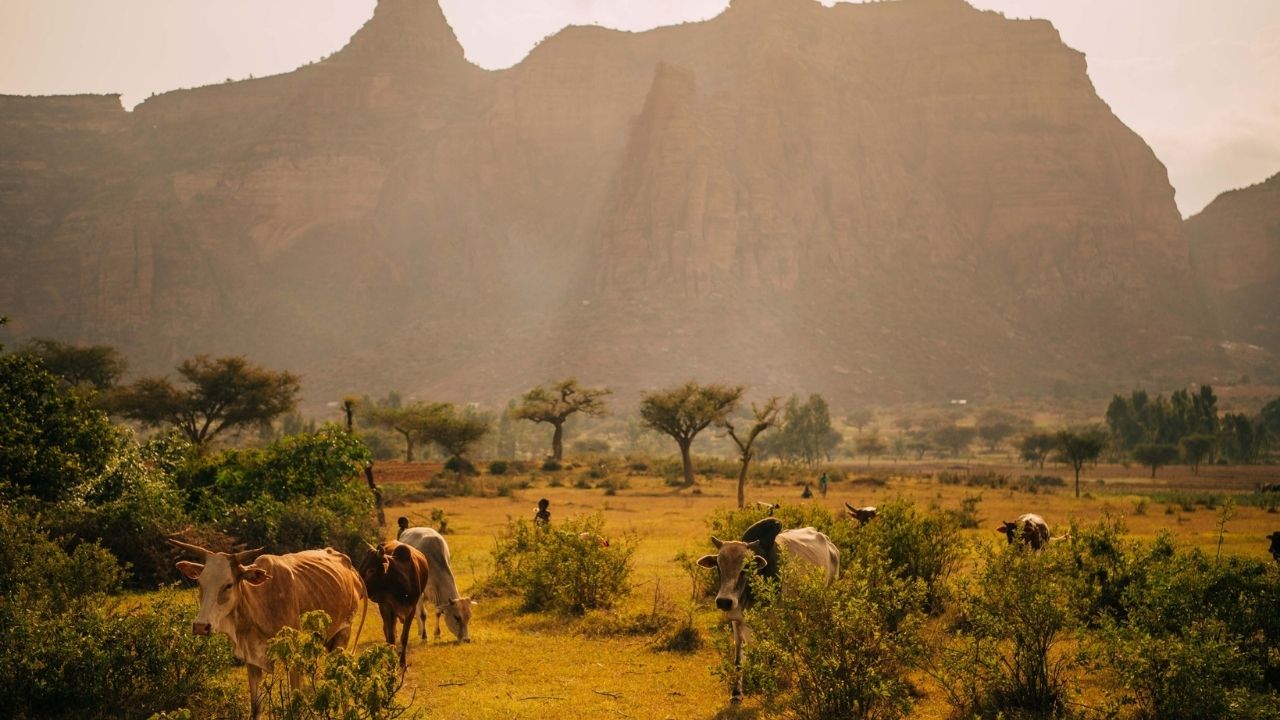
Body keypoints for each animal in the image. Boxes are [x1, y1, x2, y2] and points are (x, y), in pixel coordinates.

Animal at [169, 539, 366, 719]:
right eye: (200, 583)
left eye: (228, 585)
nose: (200, 626)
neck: (259, 601)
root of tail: (349, 566)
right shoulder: (251, 658)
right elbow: (256, 707)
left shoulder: (293, 656)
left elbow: (295, 706)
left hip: (343, 634)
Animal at [357, 540, 431, 670]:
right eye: (361, 567)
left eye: (371, 570)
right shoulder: (387, 607)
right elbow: (391, 636)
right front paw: (391, 663)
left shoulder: (411, 609)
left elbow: (404, 637)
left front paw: (402, 662)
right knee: (387, 630)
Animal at [697, 517, 839, 703]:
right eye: (718, 567)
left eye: (746, 567)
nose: (724, 601)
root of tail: (830, 544)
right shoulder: (737, 621)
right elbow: (738, 659)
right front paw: (736, 693)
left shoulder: (775, 621)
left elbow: (772, 653)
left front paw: (770, 687)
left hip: (825, 600)